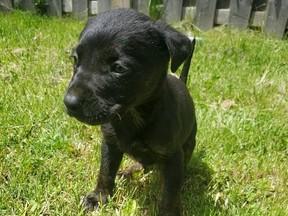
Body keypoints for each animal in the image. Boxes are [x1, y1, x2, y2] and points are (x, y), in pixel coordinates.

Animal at [63, 7, 197, 215]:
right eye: (75, 60)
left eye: (119, 68)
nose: (69, 103)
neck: (133, 114)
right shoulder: (110, 144)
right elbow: (105, 172)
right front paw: (99, 197)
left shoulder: (172, 157)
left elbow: (169, 195)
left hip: (190, 142)